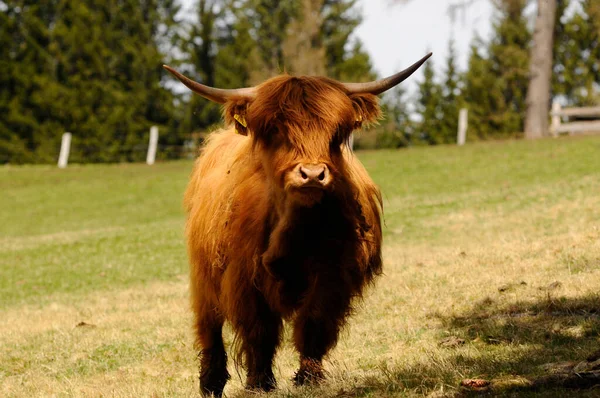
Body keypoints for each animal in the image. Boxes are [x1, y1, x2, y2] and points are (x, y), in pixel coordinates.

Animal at [164, 52, 432, 394]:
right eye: (276, 130)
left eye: (336, 133)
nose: (313, 174)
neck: (292, 228)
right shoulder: (244, 279)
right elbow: (259, 332)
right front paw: (259, 383)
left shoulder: (332, 274)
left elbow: (313, 323)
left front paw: (309, 377)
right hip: (203, 273)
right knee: (208, 323)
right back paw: (210, 382)